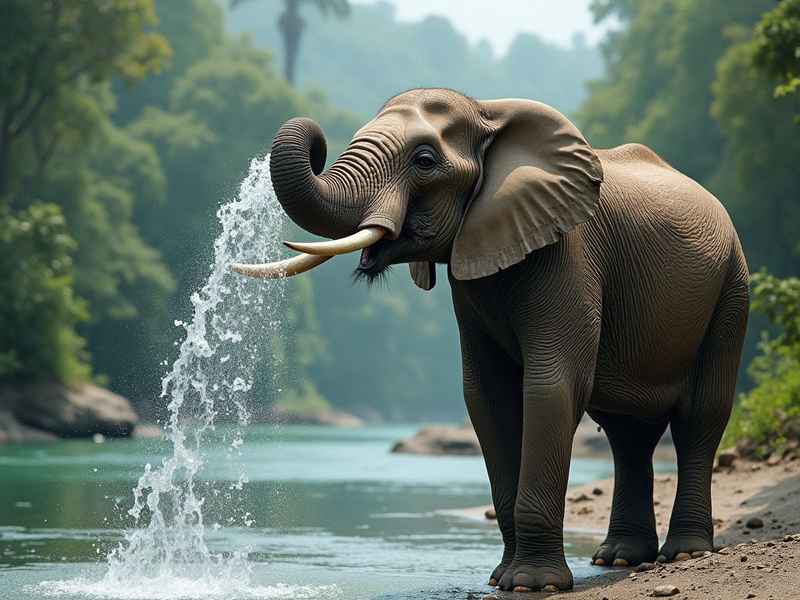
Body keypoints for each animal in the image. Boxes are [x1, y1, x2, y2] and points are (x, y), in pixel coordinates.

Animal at [232, 88, 750, 593]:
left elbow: (551, 387)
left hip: (731, 286)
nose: (317, 140)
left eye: (424, 161)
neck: (489, 113)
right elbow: (487, 396)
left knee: (699, 415)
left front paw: (532, 585)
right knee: (627, 434)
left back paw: (682, 554)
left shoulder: (569, 254)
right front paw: (503, 580)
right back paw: (620, 558)